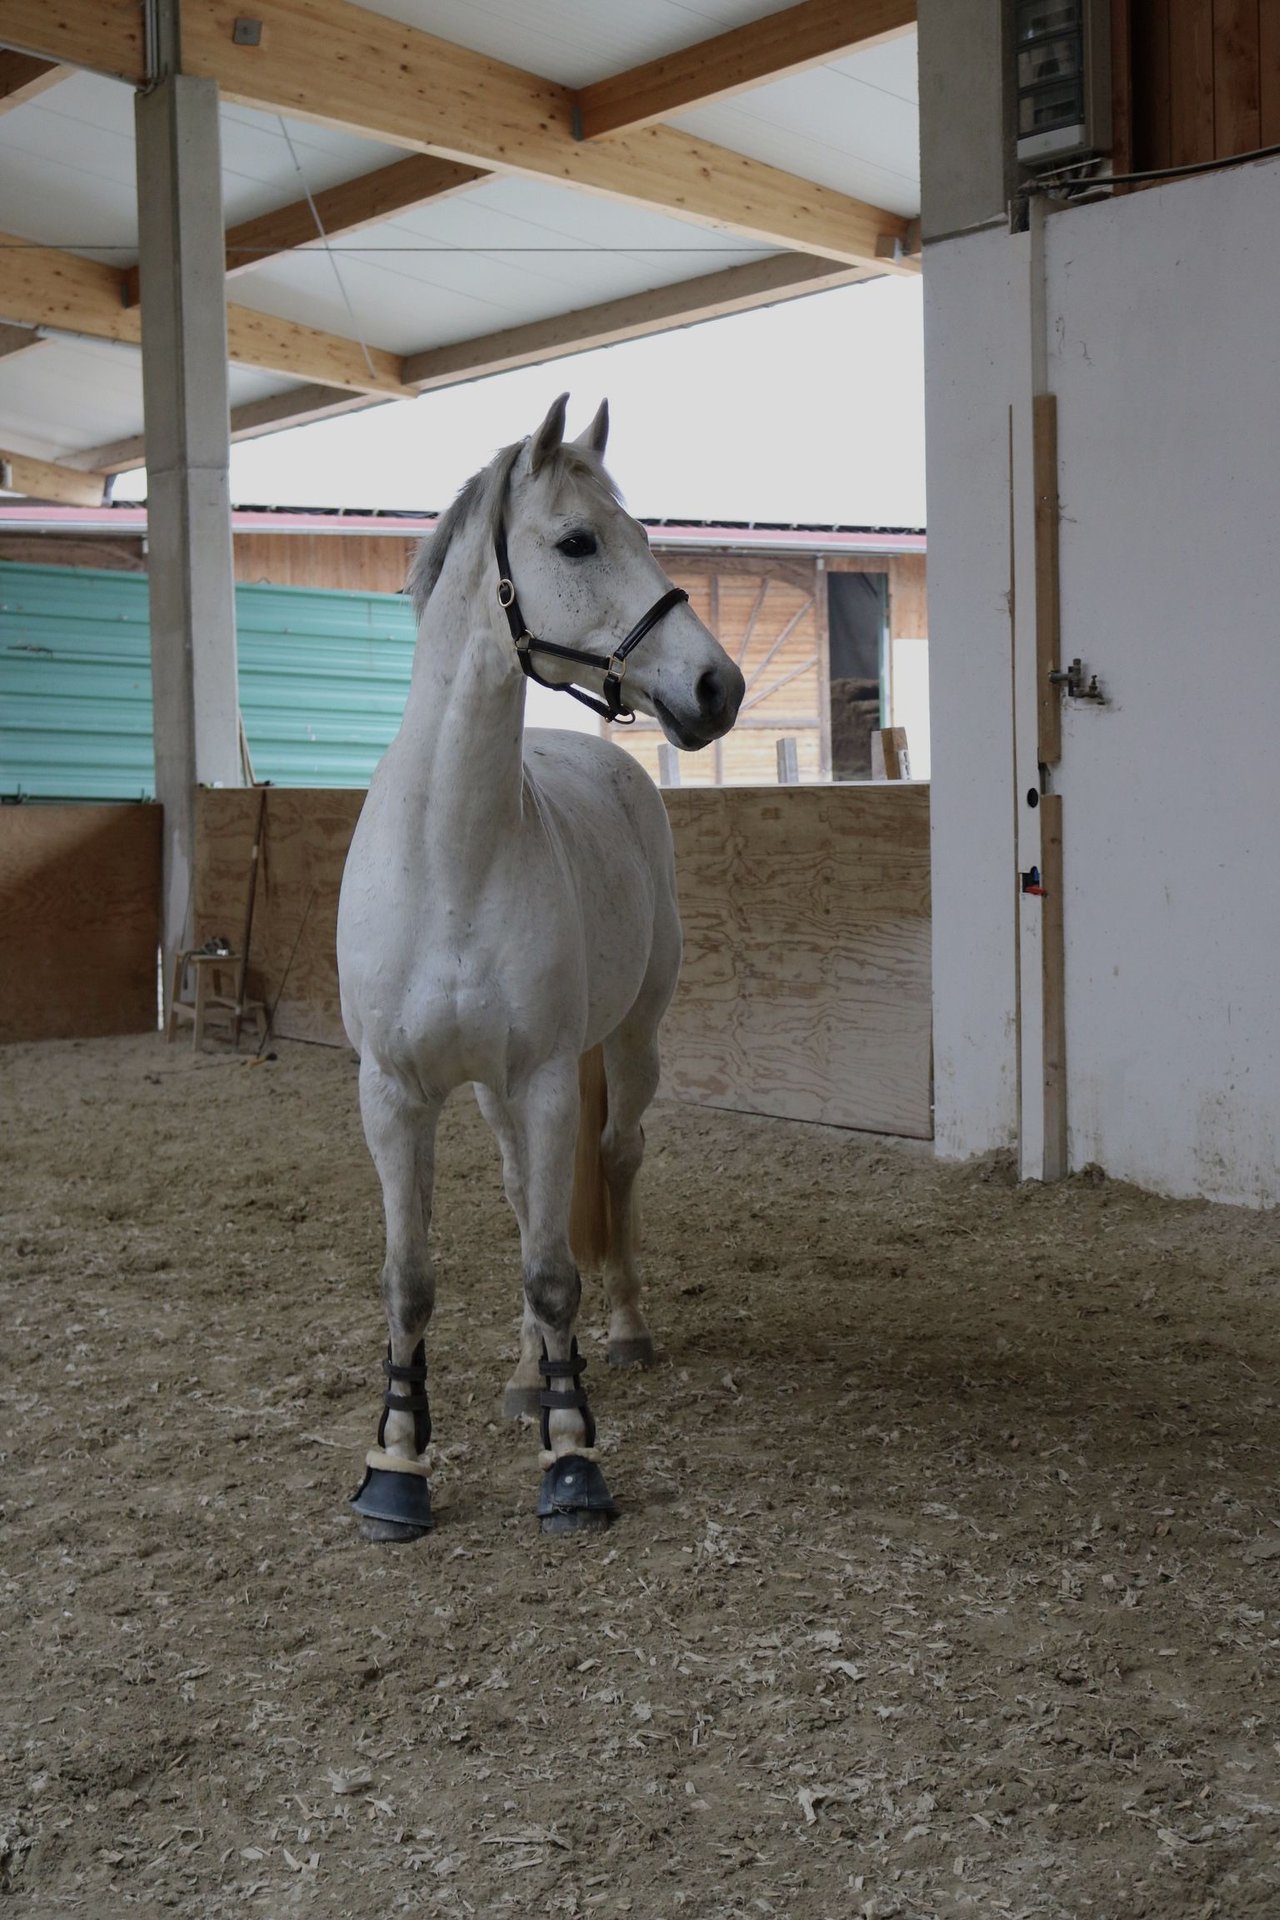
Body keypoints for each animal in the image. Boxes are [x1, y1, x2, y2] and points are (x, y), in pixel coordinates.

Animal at [335, 393, 744, 1543]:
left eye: (642, 531)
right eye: (577, 542)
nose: (718, 686)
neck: (451, 858)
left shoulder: (551, 1077)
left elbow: (557, 1269)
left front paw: (571, 1460)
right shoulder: (396, 1094)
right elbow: (412, 1278)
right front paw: (396, 1467)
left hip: (628, 1045)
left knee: (611, 1163)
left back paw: (623, 1333)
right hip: (492, 1092)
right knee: (528, 1194)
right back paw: (526, 1373)